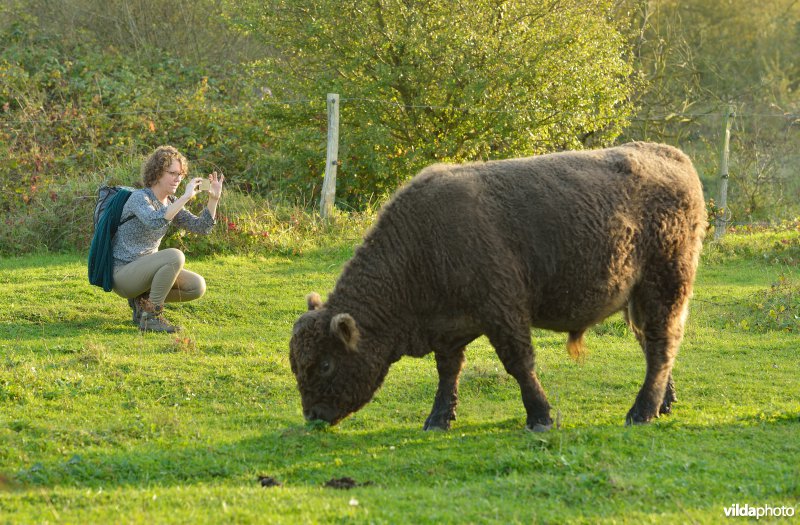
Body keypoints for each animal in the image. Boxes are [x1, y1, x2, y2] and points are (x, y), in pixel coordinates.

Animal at [288, 140, 708, 430]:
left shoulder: (503, 311)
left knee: (661, 344)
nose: (313, 416)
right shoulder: (448, 329)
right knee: (653, 345)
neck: (422, 244)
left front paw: (540, 416)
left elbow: (519, 363)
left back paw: (642, 412)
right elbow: (448, 372)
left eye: (324, 364)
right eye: (298, 365)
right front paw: (438, 419)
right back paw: (663, 404)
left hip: (664, 287)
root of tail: (672, 156)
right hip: (637, 299)